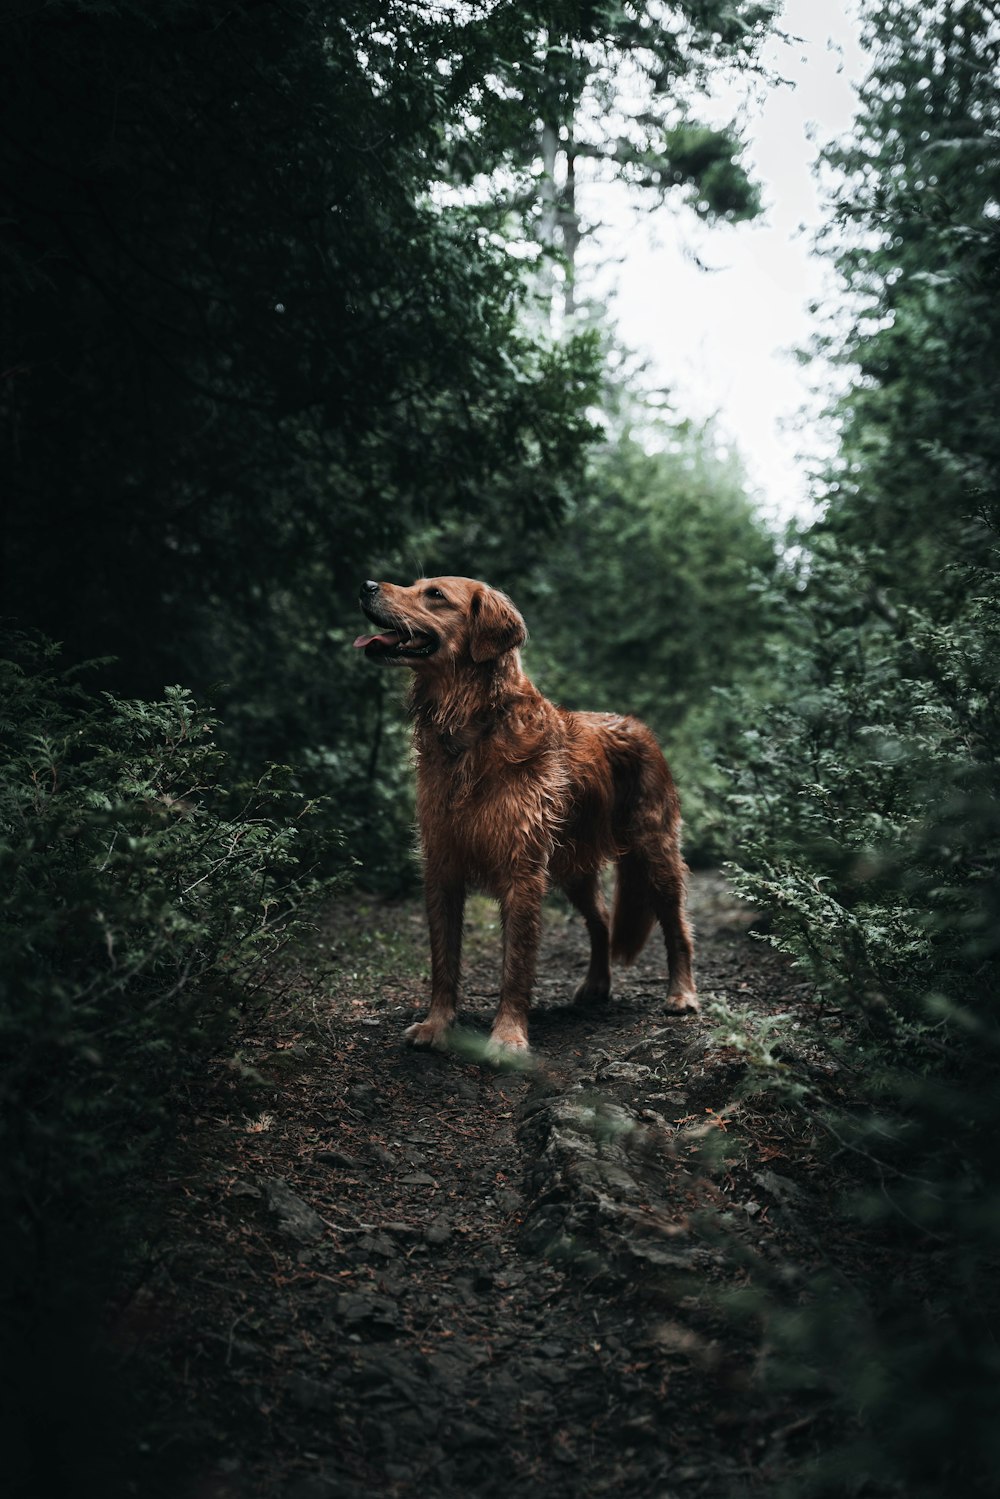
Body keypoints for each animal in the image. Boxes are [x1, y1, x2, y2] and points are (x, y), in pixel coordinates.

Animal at [358, 572, 695, 1055]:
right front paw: (437, 1024)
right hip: (574, 866)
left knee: (676, 926)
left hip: (655, 851)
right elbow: (444, 959)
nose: (366, 585)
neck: (471, 730)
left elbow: (515, 964)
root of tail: (640, 727)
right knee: (601, 920)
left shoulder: (522, 870)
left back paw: (682, 993)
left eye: (435, 594)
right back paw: (597, 985)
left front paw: (507, 1036)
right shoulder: (441, 864)